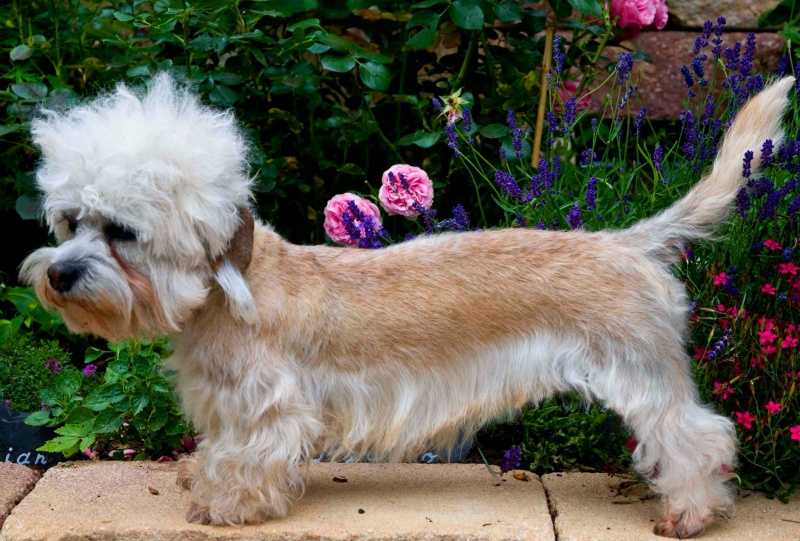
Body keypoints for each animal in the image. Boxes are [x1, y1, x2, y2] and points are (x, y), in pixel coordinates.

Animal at [18, 75, 792, 536]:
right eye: (69, 220)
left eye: (123, 231)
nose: (57, 275)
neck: (230, 295)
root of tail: (629, 243)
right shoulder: (226, 404)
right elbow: (219, 446)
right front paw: (202, 476)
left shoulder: (269, 408)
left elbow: (249, 457)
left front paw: (226, 503)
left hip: (644, 375)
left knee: (699, 436)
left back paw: (690, 511)